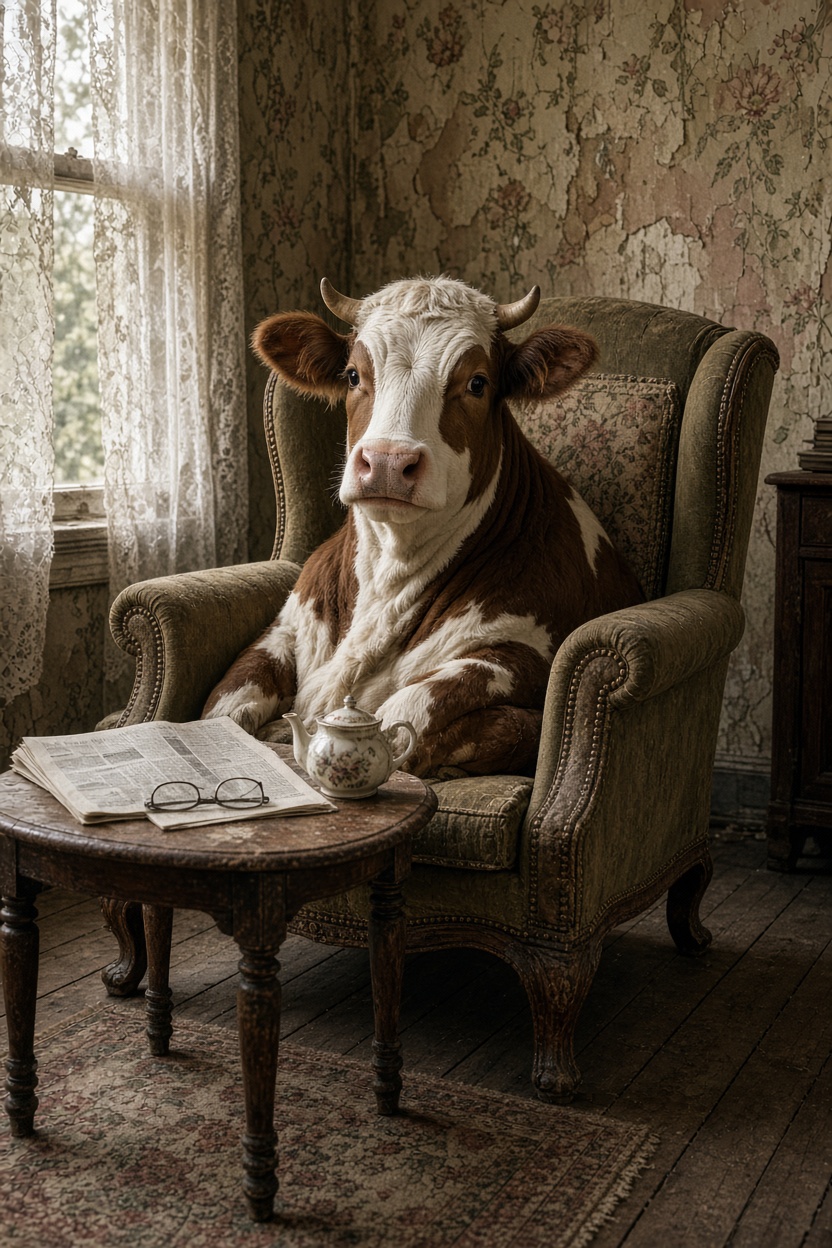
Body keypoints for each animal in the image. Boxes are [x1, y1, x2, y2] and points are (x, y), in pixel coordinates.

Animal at [203, 276, 644, 778]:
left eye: (477, 382)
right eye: (353, 375)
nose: (387, 462)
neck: (390, 573)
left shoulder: (522, 653)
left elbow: (409, 716)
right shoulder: (286, 628)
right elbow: (222, 711)